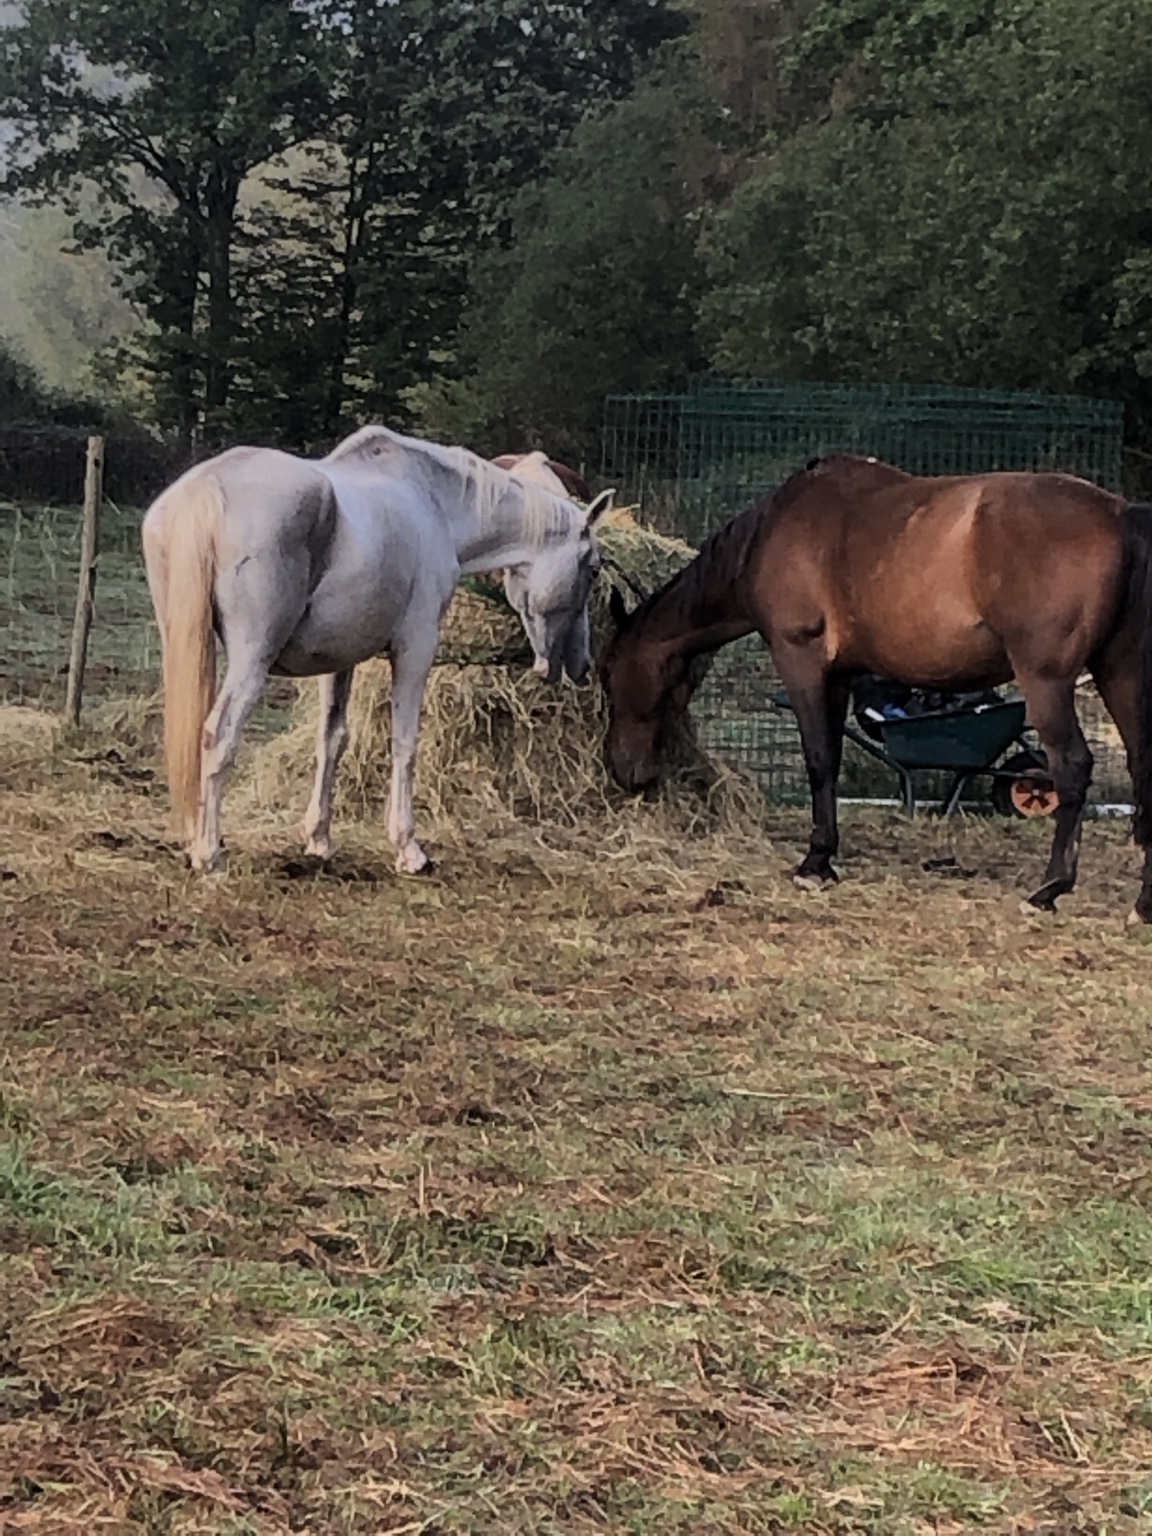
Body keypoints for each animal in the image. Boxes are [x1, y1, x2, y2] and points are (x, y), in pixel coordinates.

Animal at [143, 425, 612, 875]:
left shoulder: (337, 661)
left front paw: (319, 839)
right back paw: (209, 854)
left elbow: (332, 739)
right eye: (592, 569)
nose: (580, 663)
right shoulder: (415, 649)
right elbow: (404, 742)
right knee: (218, 735)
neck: (433, 503)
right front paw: (408, 848)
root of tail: (206, 491)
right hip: (251, 662)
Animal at [600, 454, 1152, 920]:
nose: (626, 773)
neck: (776, 529)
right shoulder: (840, 675)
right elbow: (831, 759)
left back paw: (1049, 889)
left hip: (1047, 681)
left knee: (1072, 768)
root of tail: (1120, 514)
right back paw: (1142, 905)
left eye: (607, 674)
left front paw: (815, 862)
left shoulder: (800, 661)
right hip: (1118, 676)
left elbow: (819, 759)